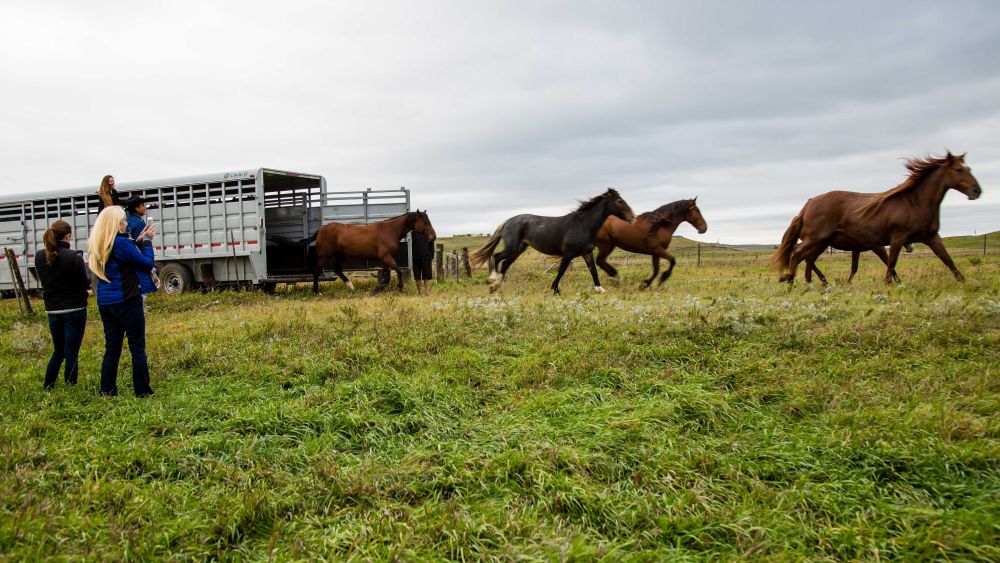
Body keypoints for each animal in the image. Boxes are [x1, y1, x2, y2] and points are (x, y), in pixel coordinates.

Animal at [299, 210, 436, 294]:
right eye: (425, 222)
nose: (433, 237)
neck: (389, 230)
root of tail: (320, 230)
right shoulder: (386, 257)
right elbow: (398, 270)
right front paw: (399, 287)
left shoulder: (386, 258)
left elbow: (386, 277)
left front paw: (377, 290)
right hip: (325, 256)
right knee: (316, 271)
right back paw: (317, 292)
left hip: (340, 256)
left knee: (337, 270)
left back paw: (351, 287)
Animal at [470, 188, 635, 294]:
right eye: (619, 201)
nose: (632, 217)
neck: (582, 225)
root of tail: (507, 222)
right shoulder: (568, 254)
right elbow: (561, 271)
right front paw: (555, 289)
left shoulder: (587, 253)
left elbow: (593, 271)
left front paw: (599, 289)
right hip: (512, 247)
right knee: (496, 256)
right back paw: (492, 281)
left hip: (519, 249)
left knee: (505, 263)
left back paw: (496, 285)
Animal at [773, 152, 981, 284]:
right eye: (958, 170)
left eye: (969, 168)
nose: (977, 191)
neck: (915, 202)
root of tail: (808, 203)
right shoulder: (895, 237)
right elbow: (891, 261)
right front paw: (890, 283)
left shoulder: (931, 237)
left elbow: (947, 259)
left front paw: (964, 281)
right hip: (817, 239)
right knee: (798, 254)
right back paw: (792, 280)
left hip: (821, 242)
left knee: (807, 259)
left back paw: (809, 281)